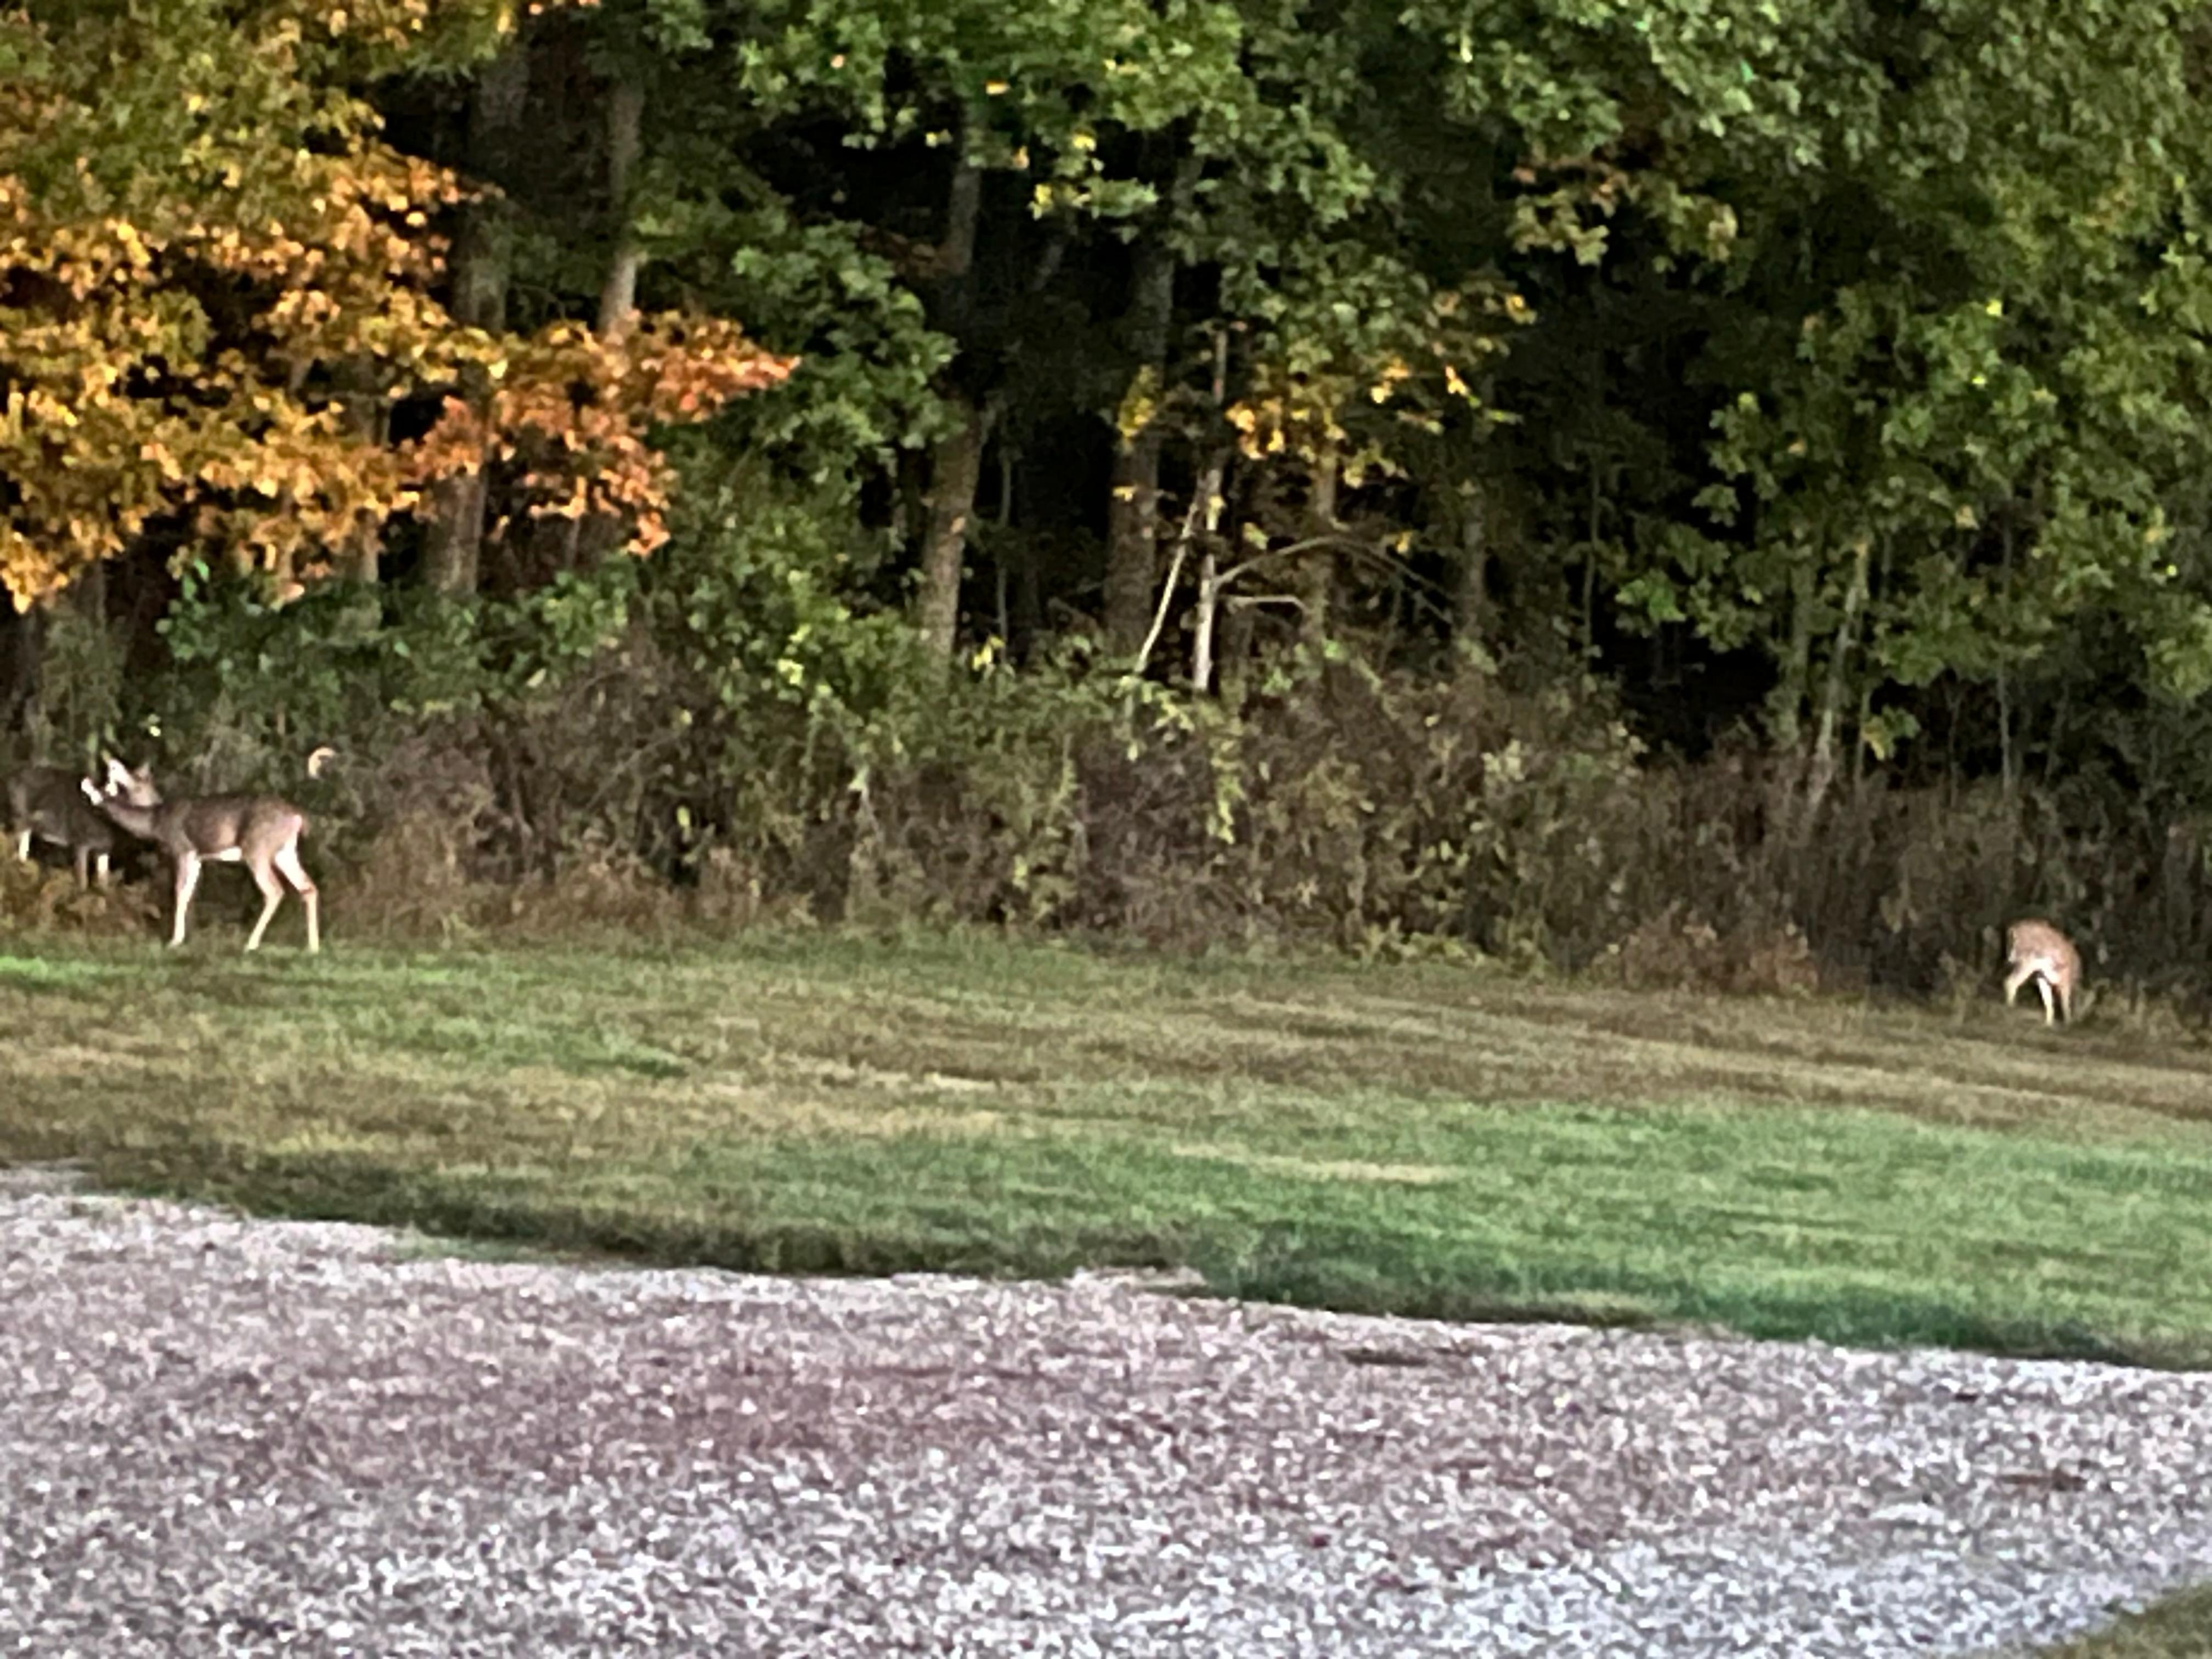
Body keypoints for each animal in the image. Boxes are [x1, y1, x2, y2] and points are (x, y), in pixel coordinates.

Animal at [4, 764, 118, 887]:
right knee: (16, 838)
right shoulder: (80, 842)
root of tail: (10, 778)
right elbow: (82, 875)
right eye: (93, 795)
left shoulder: (105, 849)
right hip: (20, 814)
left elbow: (104, 878)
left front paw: (103, 890)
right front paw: (81, 889)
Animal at [82, 758, 320, 953]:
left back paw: (251, 944)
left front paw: (174, 941)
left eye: (137, 777)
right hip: (285, 851)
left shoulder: (183, 849)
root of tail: (297, 816)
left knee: (275, 891)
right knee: (308, 887)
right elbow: (188, 893)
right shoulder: (197, 857)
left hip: (257, 848)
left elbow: (179, 891)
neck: (155, 822)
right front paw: (183, 937)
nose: (112, 764)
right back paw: (313, 946)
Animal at [2004, 918, 2080, 1027]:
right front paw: (2068, 1023)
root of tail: (2013, 929)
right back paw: (2011, 1008)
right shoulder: (2064, 981)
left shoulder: (2042, 978)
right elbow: (2065, 1004)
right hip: (2027, 963)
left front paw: (2049, 1024)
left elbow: (2049, 1001)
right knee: (2010, 982)